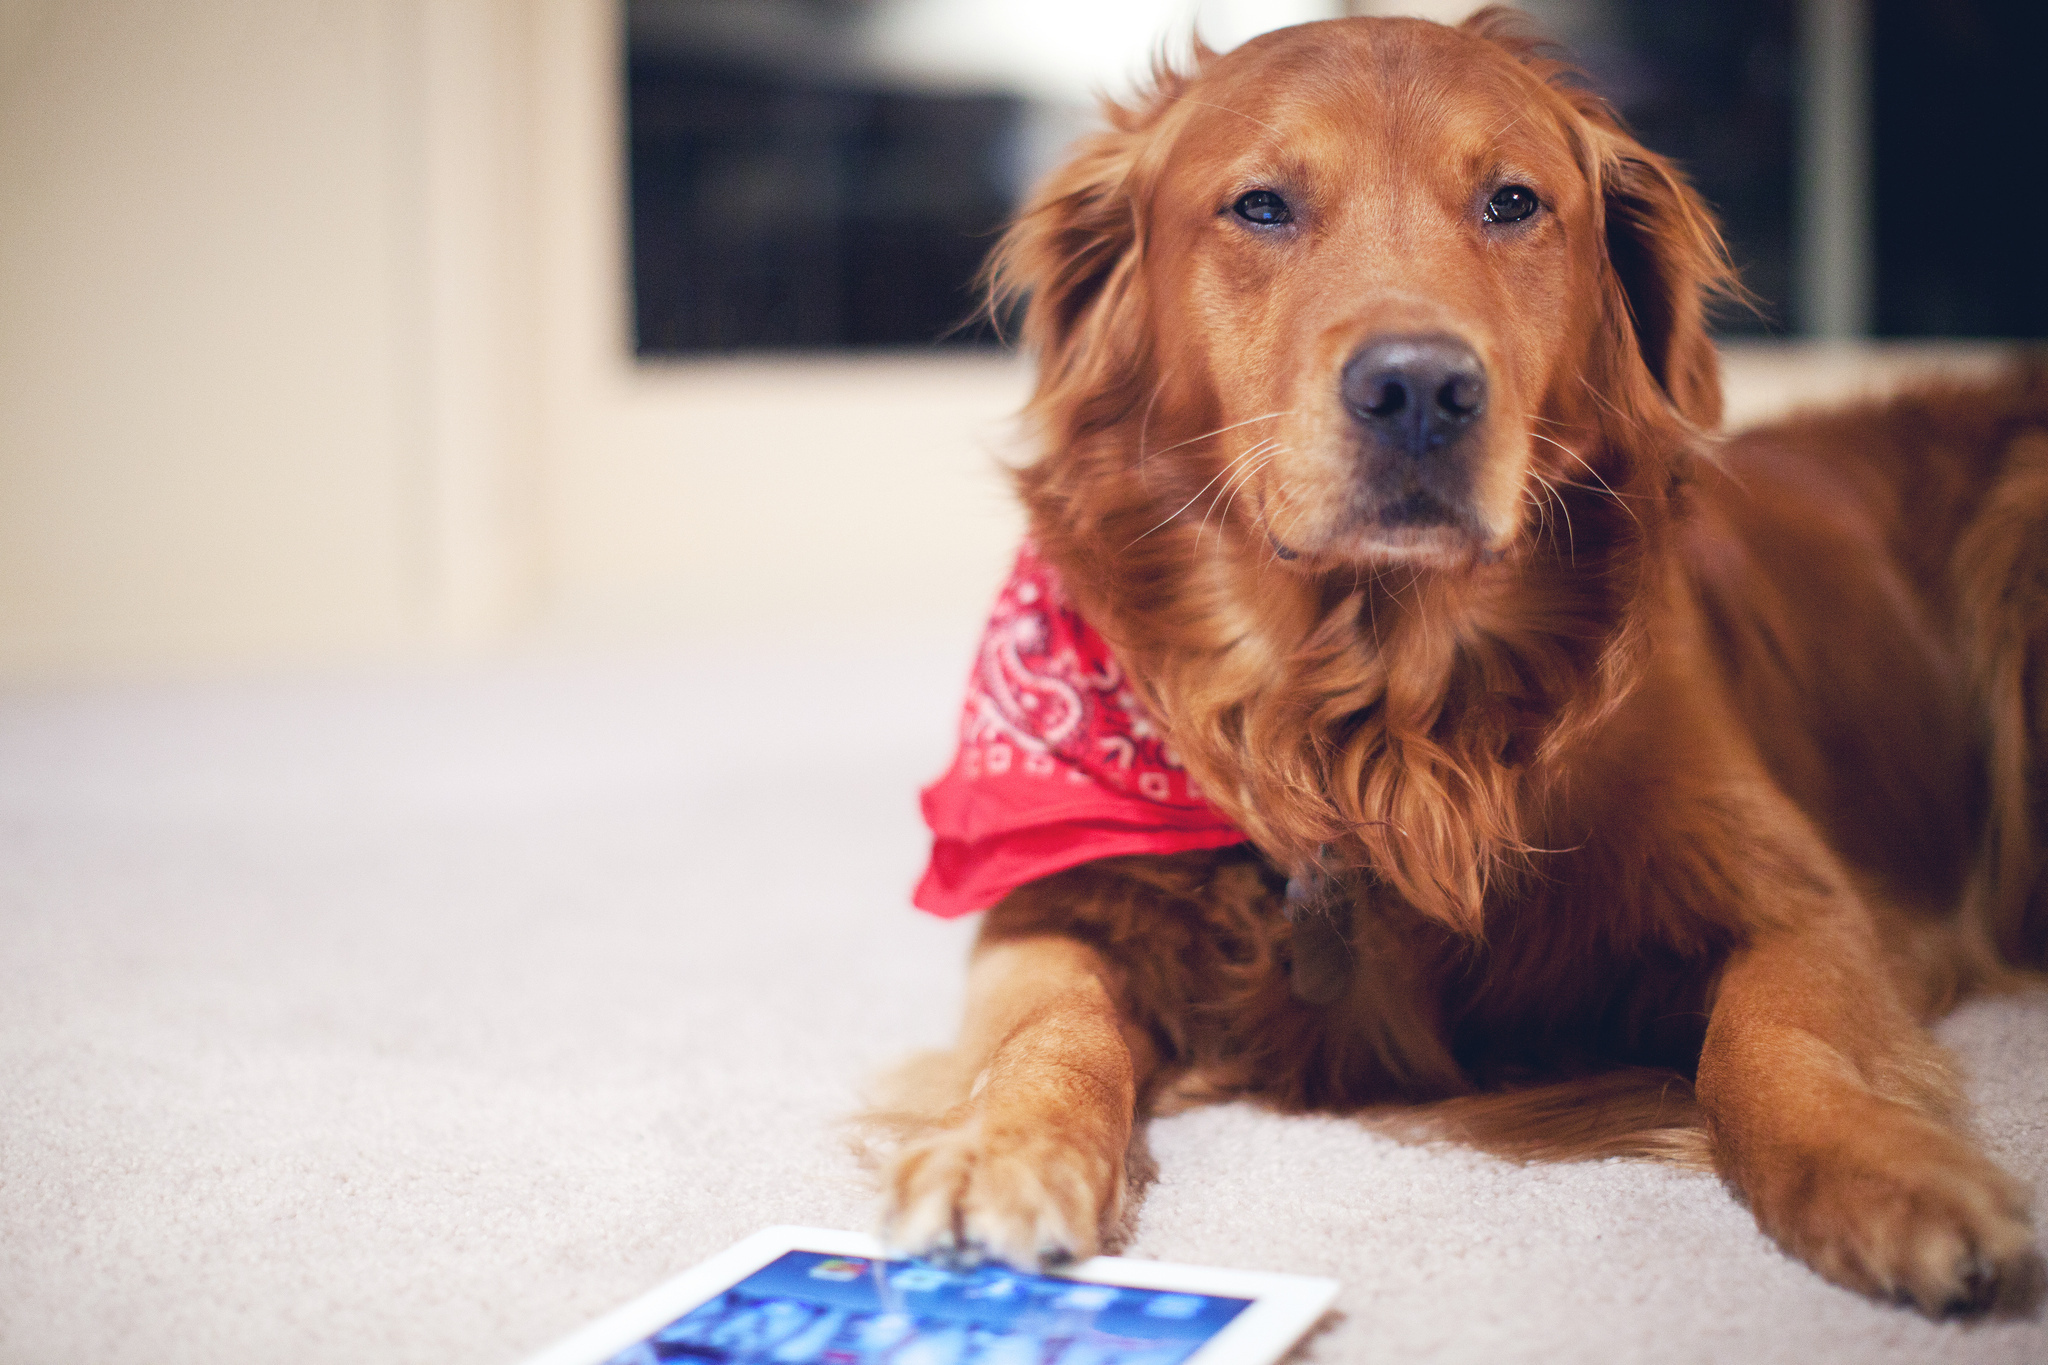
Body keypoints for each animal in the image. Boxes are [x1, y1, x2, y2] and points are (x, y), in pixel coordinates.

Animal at [868, 5, 2048, 1317]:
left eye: (1512, 202)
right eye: (1261, 206)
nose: (1419, 389)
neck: (1368, 715)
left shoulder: (1796, 898)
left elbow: (1780, 1038)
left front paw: (1891, 1170)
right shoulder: (1055, 891)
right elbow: (1044, 1023)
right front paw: (998, 1147)